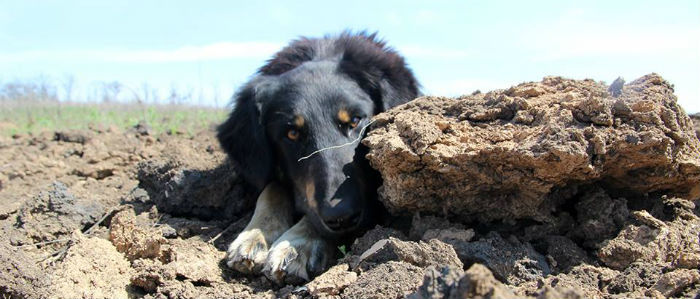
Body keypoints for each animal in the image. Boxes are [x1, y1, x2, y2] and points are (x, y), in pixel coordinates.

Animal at [216, 31, 418, 284]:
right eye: (292, 133)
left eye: (355, 121)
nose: (341, 217)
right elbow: (272, 188)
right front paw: (256, 235)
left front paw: (298, 243)